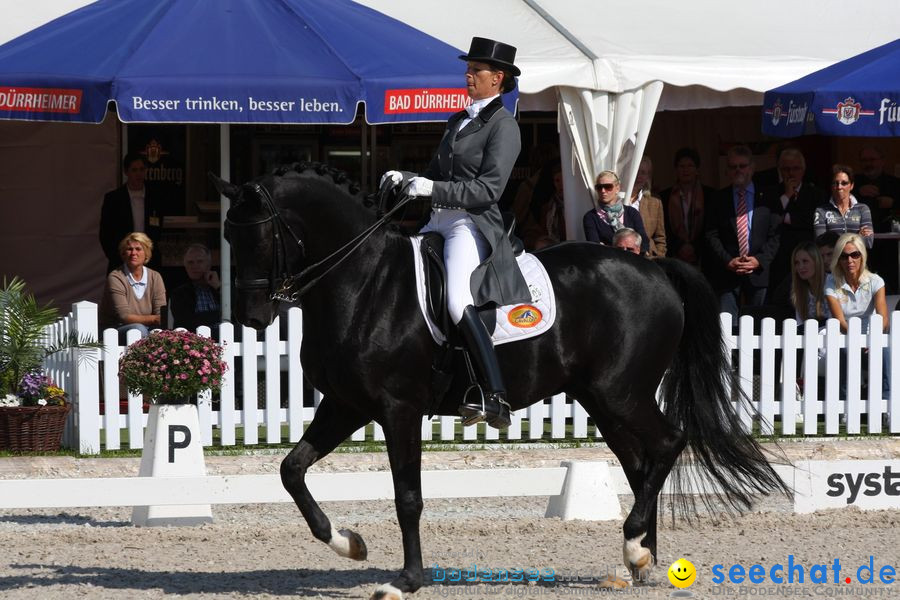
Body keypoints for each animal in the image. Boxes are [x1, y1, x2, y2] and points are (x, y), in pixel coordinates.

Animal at [214, 164, 784, 600]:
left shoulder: (398, 409)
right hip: (602, 400)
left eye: (260, 235)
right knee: (641, 463)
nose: (251, 317)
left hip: (621, 393)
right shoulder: (346, 405)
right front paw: (349, 543)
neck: (366, 284)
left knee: (668, 443)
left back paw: (635, 548)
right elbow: (291, 470)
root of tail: (655, 269)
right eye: (227, 236)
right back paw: (641, 558)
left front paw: (406, 580)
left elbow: (407, 496)